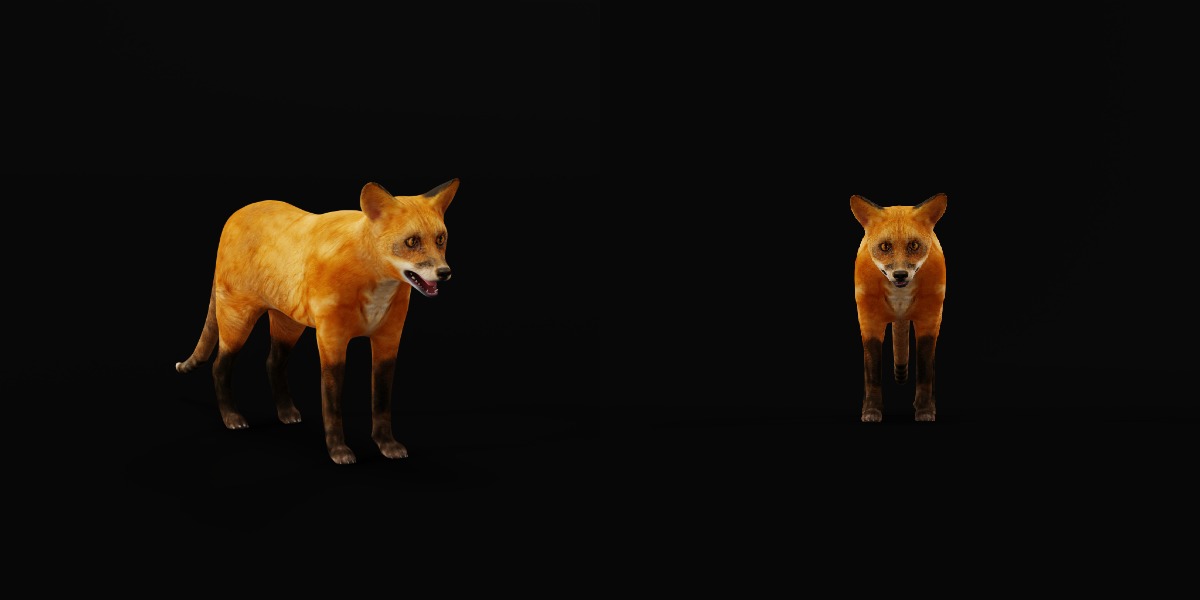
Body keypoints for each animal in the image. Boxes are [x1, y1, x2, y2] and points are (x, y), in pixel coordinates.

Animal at [176, 179, 460, 464]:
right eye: (411, 242)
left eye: (440, 239)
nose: (444, 272)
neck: (374, 283)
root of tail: (237, 213)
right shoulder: (331, 338)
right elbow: (331, 404)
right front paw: (338, 450)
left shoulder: (388, 339)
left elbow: (381, 400)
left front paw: (386, 444)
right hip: (238, 321)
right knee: (219, 367)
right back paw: (232, 417)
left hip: (289, 326)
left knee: (272, 363)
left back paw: (286, 412)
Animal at [851, 192, 947, 422]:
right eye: (885, 247)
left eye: (914, 245)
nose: (900, 275)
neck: (900, 299)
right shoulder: (869, 320)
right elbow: (872, 373)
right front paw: (871, 409)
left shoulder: (929, 319)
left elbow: (924, 372)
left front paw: (924, 409)